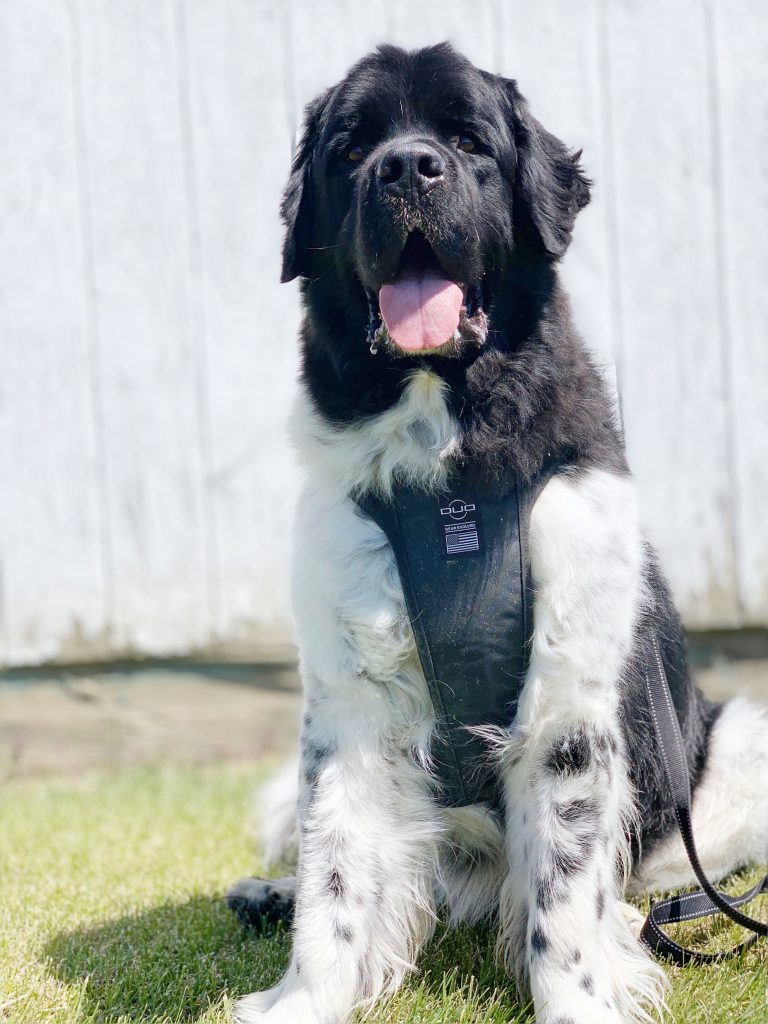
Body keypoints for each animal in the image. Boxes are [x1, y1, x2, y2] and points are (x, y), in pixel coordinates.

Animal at [227, 41, 768, 1024]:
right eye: (352, 147)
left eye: (469, 140)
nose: (406, 167)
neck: (451, 461)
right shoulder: (349, 702)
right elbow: (335, 868)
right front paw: (306, 996)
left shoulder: (567, 706)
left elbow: (563, 887)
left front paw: (580, 999)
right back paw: (267, 893)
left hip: (735, 746)